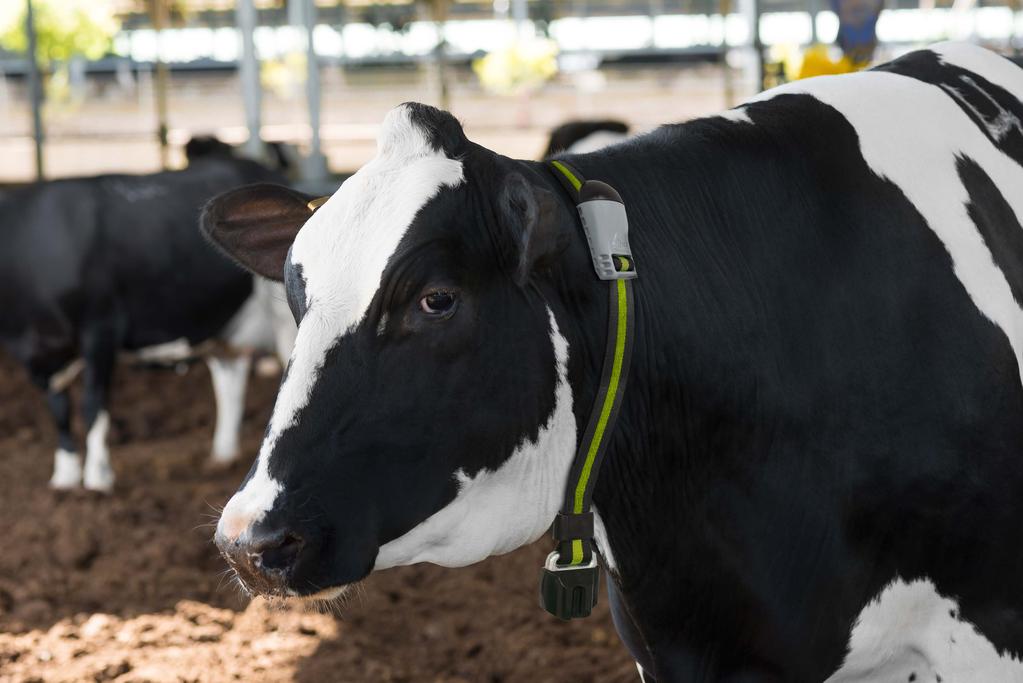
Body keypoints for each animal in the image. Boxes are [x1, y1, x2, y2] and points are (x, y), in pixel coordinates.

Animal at [0, 143, 296, 490]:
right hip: (224, 325)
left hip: (280, 318)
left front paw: (98, 478)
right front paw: (65, 475)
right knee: (230, 377)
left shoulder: (100, 326)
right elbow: (58, 410)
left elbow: (92, 404)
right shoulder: (37, 354)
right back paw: (221, 457)